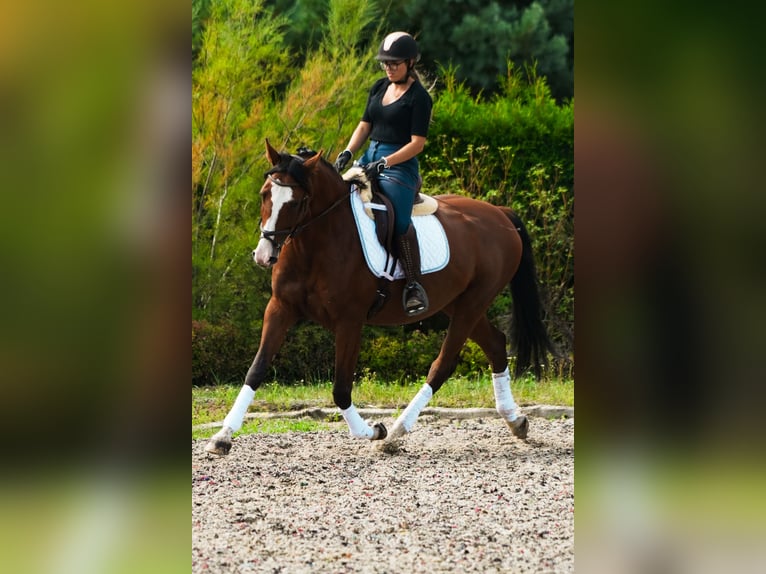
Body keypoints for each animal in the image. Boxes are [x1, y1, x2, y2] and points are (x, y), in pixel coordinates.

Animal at [205, 140, 553, 455]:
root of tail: (501, 214)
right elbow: (256, 370)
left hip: (473, 302)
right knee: (495, 343)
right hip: (458, 303)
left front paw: (374, 431)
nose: (264, 256)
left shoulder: (350, 321)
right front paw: (222, 437)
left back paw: (397, 432)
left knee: (443, 364)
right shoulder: (280, 308)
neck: (316, 244)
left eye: (297, 201)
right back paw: (516, 421)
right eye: (265, 194)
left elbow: (341, 389)